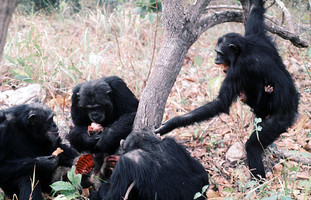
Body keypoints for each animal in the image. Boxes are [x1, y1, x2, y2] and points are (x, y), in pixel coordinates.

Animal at [157, 0, 302, 180]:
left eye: (219, 52)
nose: (216, 58)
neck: (244, 49)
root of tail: (295, 109)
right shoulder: (257, 35)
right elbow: (255, 12)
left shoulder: (238, 69)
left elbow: (222, 102)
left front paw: (172, 123)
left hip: (280, 120)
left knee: (253, 145)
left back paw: (258, 181)